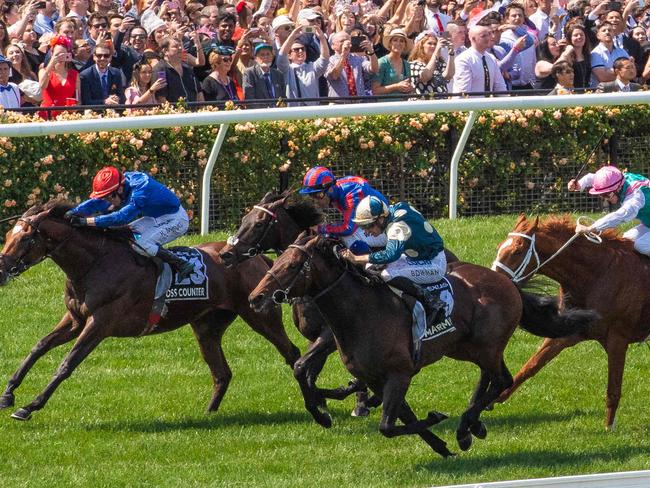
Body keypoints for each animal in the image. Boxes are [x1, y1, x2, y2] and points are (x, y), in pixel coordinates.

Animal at [0, 200, 302, 422]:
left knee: (292, 352)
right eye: (7, 235)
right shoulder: (75, 319)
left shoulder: (100, 322)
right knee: (222, 373)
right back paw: (208, 414)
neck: (94, 265)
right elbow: (39, 346)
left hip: (260, 316)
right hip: (206, 327)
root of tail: (257, 259)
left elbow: (67, 364)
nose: (2, 269)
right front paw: (8, 393)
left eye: (25, 239)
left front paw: (30, 406)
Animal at [249, 234, 596, 456]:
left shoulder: (399, 373)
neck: (361, 311)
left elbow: (388, 425)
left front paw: (438, 421)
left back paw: (467, 425)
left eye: (291, 266)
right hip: (466, 347)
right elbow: (399, 418)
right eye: (275, 262)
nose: (256, 298)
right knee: (493, 377)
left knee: (501, 380)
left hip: (485, 345)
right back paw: (469, 427)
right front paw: (440, 445)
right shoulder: (377, 377)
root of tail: (506, 281)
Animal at [492, 215, 648, 428]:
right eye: (499, 246)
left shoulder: (618, 338)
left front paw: (609, 427)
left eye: (517, 251)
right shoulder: (569, 331)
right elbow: (531, 366)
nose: (494, 282)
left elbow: (613, 389)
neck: (597, 275)